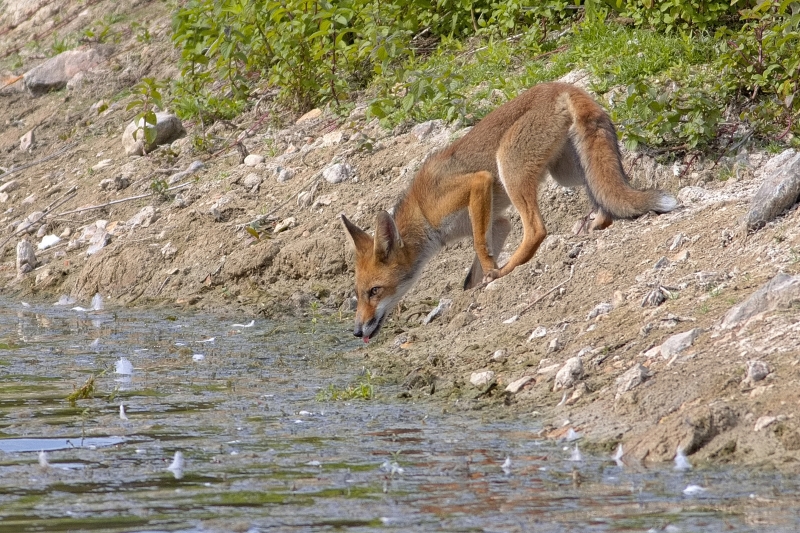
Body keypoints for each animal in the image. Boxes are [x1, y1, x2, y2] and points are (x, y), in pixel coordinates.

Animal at [340, 83, 680, 340]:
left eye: (374, 291)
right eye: (358, 293)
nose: (357, 332)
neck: (423, 214)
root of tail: (560, 85)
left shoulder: (478, 183)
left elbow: (480, 248)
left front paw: (493, 271)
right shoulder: (498, 222)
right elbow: (472, 274)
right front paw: (475, 290)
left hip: (510, 169)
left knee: (537, 230)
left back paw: (507, 271)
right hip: (570, 173)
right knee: (607, 199)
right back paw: (595, 225)